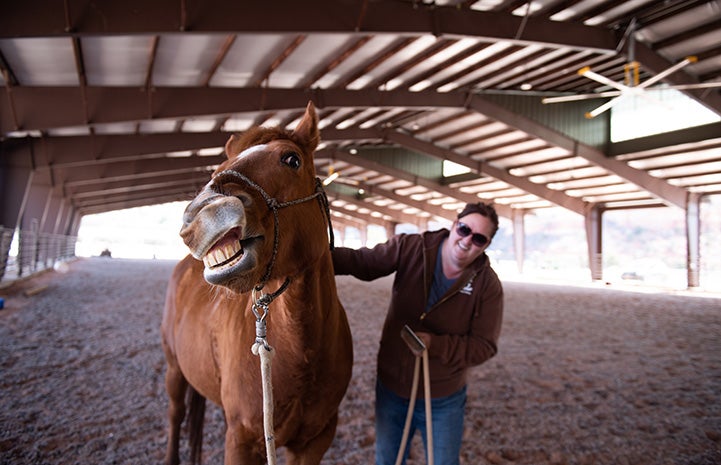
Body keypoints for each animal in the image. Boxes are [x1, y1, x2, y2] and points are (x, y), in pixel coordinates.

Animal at [162, 102, 354, 464]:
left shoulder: (316, 440)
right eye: (219, 168)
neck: (302, 355)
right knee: (176, 414)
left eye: (291, 159)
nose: (204, 214)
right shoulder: (241, 440)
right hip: (174, 368)